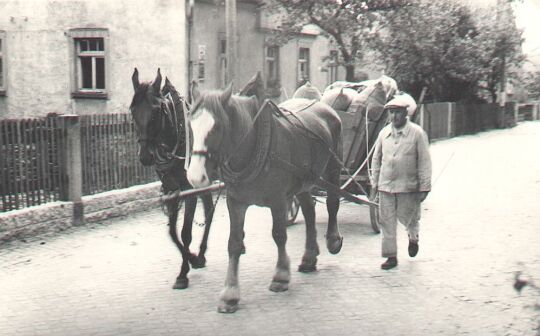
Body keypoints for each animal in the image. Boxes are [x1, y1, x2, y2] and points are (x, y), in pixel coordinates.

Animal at [131, 68, 215, 288]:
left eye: (156, 111)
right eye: (132, 110)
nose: (145, 156)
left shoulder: (189, 190)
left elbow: (185, 232)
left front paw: (183, 273)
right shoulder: (171, 189)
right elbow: (172, 233)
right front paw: (192, 259)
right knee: (209, 210)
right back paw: (201, 254)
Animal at [186, 81, 344, 312]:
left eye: (217, 127)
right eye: (191, 126)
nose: (196, 177)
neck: (253, 145)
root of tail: (323, 106)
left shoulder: (278, 201)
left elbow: (279, 235)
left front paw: (281, 275)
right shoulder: (236, 202)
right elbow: (234, 242)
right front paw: (230, 293)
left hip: (333, 169)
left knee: (333, 203)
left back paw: (332, 240)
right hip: (304, 180)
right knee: (309, 210)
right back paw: (309, 257)